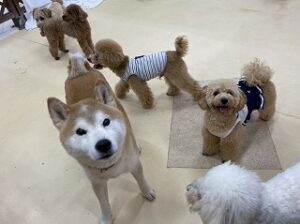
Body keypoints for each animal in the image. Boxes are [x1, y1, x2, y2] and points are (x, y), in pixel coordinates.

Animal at [47, 53, 155, 224]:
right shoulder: (97, 184)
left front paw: (147, 191)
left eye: (106, 122)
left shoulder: (135, 166)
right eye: (80, 131)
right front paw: (106, 218)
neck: (110, 166)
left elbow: (141, 180)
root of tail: (80, 73)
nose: (103, 144)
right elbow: (103, 203)